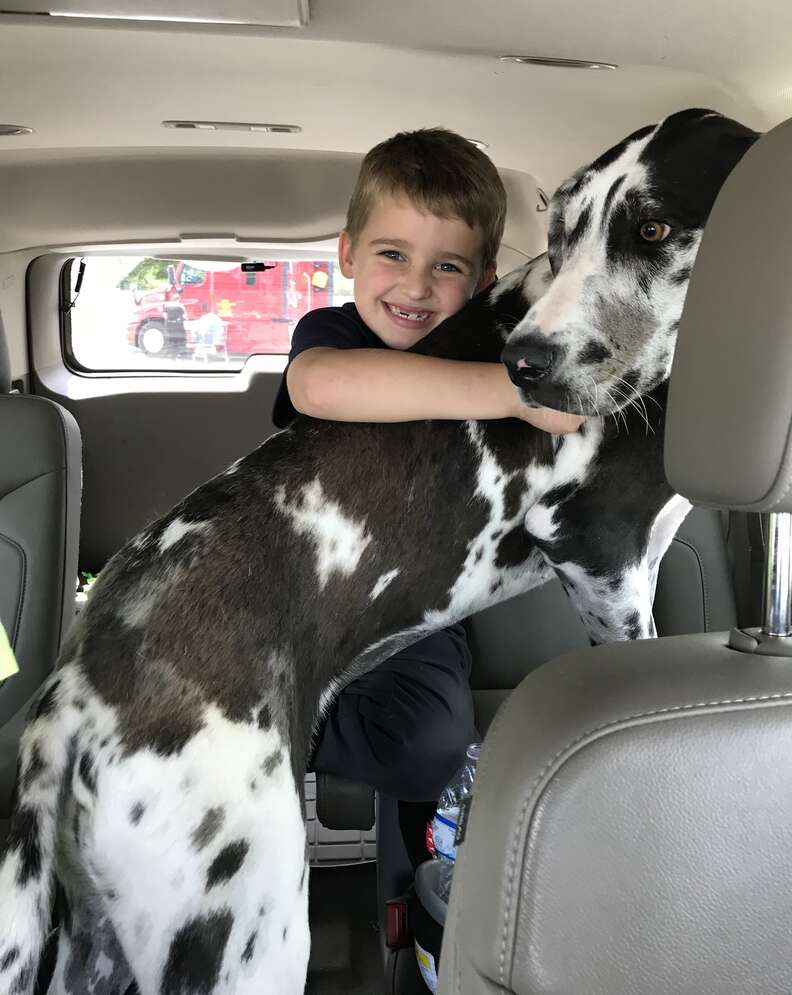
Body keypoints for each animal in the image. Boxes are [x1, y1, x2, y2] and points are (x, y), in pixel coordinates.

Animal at [0, 105, 756, 992]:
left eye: (654, 227)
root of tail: (72, 700)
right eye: (564, 232)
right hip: (249, 929)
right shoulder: (598, 554)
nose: (522, 364)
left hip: (93, 948)